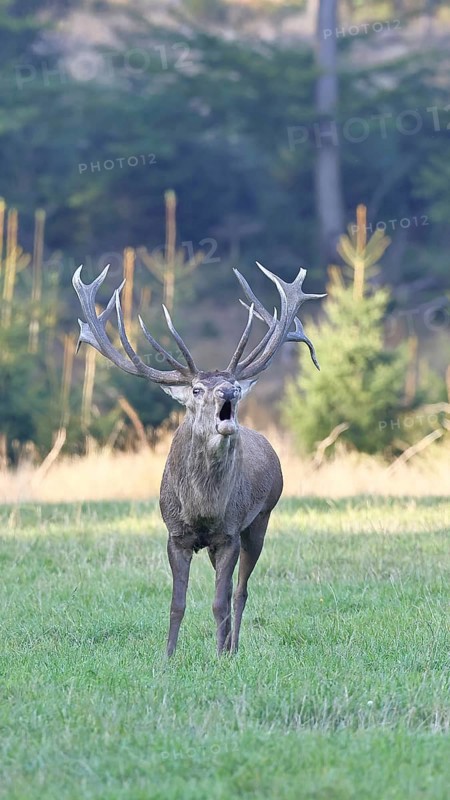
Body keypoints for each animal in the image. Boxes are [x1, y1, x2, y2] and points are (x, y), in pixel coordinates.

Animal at [72, 261, 324, 655]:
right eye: (196, 389)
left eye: (232, 384)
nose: (230, 390)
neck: (202, 508)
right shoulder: (175, 534)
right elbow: (177, 603)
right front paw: (168, 656)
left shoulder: (230, 532)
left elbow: (219, 601)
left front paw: (219, 655)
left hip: (261, 519)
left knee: (240, 591)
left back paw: (233, 648)